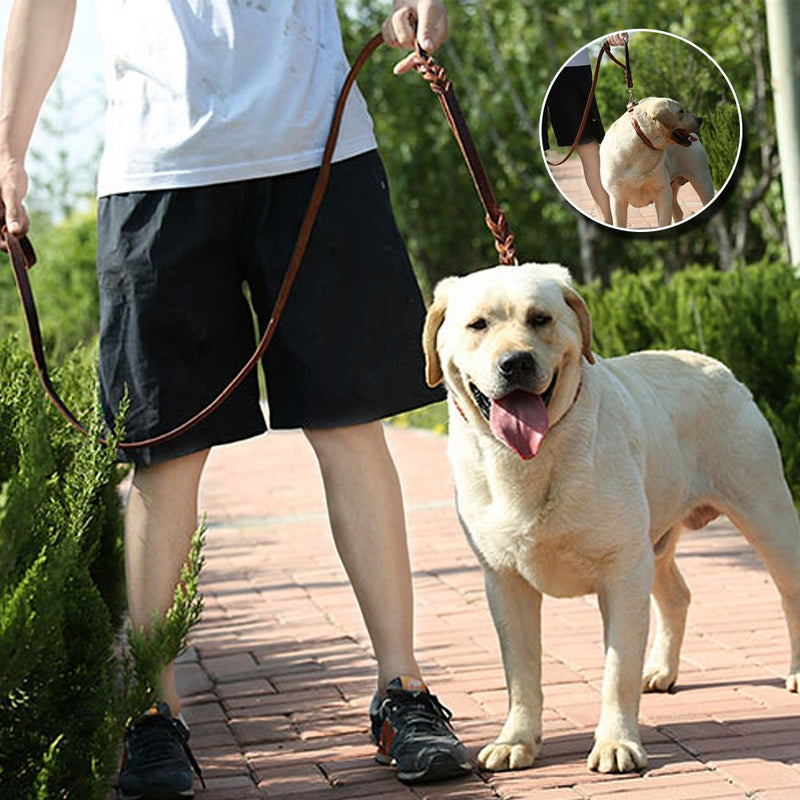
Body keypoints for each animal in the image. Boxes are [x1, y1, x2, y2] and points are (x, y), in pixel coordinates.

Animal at [422, 266, 800, 772]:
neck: (533, 461)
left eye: (540, 318)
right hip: (655, 543)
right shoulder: (504, 582)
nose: (516, 363)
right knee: (677, 596)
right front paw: (515, 740)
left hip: (766, 515)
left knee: (789, 592)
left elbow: (617, 670)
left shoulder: (622, 571)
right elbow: (520, 673)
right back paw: (661, 670)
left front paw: (616, 743)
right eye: (478, 325)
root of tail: (716, 365)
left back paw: (796, 671)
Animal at [596, 99, 716, 228]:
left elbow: (663, 222)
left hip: (702, 182)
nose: (700, 119)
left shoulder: (663, 193)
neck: (642, 142)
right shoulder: (617, 199)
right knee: (678, 211)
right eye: (681, 111)